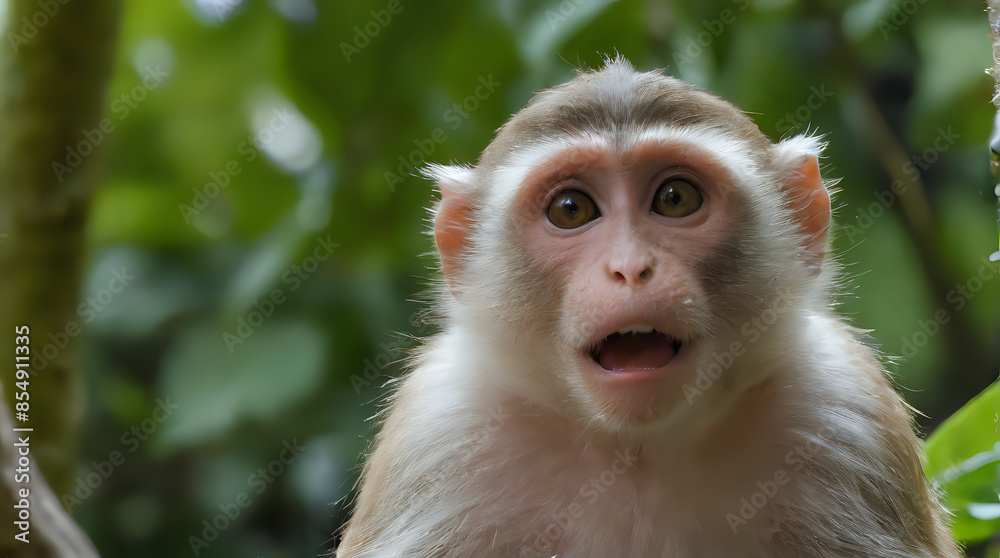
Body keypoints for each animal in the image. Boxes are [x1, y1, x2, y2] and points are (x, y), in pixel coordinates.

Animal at [337, 57, 961, 558]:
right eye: (570, 209)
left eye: (675, 198)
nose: (630, 267)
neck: (635, 452)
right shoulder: (438, 433)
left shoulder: (844, 409)